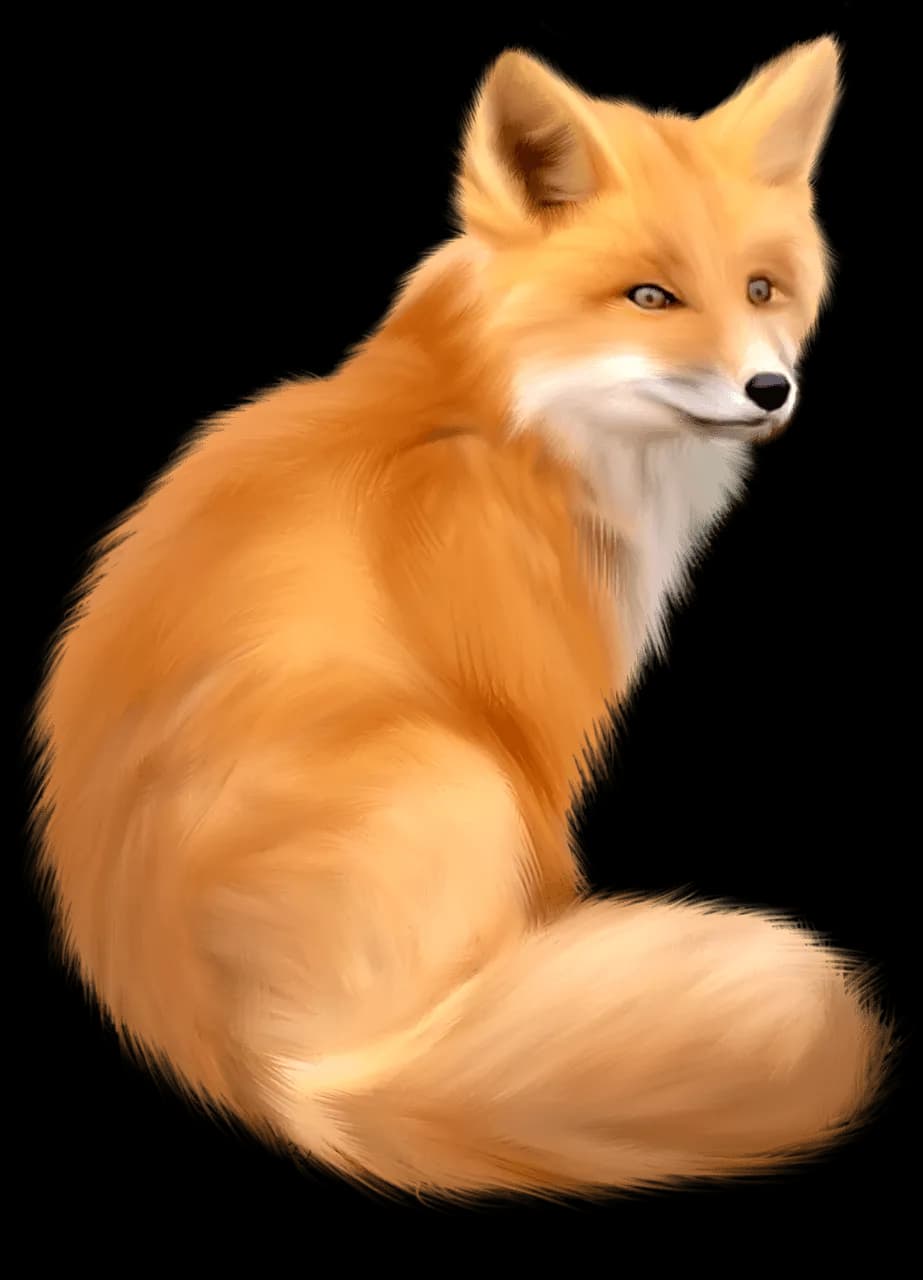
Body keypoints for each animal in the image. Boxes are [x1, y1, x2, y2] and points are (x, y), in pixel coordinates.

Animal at [31, 37, 891, 1202]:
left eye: (762, 288)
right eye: (650, 296)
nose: (769, 388)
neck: (502, 419)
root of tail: (279, 1082)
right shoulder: (531, 725)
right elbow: (556, 878)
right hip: (460, 774)